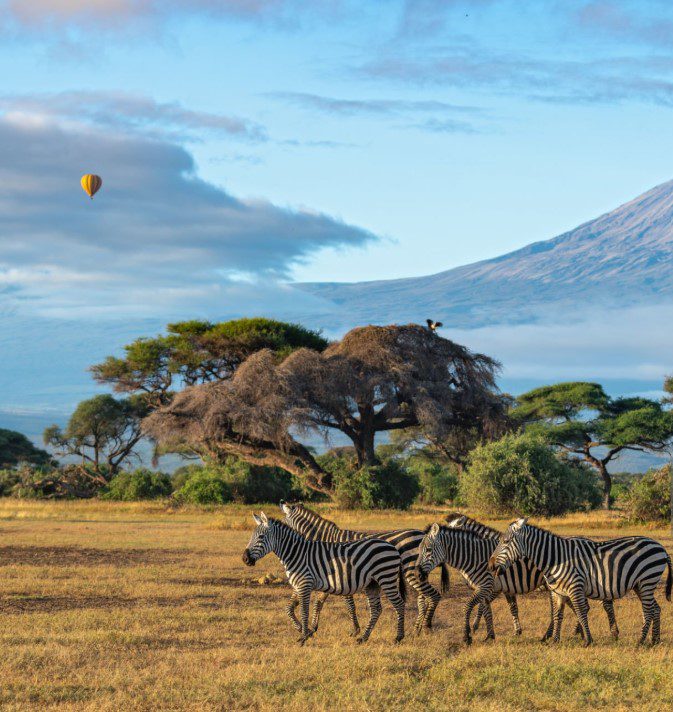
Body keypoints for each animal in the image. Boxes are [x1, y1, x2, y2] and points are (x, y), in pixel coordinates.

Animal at [242, 512, 406, 645]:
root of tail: (392, 546)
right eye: (251, 536)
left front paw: (303, 637)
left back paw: (398, 637)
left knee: (399, 604)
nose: (245, 559)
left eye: (261, 537)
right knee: (376, 609)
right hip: (372, 583)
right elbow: (289, 609)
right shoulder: (298, 585)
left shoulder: (305, 584)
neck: (296, 553)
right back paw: (363, 638)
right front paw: (304, 630)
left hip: (386, 578)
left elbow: (304, 611)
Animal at [280, 502, 448, 635]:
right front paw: (311, 627)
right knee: (423, 599)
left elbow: (349, 606)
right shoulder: (328, 579)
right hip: (418, 573)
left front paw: (355, 630)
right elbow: (315, 603)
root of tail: (422, 534)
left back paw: (423, 628)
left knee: (431, 596)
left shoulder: (342, 577)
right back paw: (416, 629)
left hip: (412, 572)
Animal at [489, 518, 673, 646]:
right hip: (640, 586)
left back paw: (641, 641)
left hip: (647, 580)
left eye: (505, 542)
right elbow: (558, 614)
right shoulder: (558, 592)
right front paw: (555, 640)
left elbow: (580, 611)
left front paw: (588, 640)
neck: (556, 558)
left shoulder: (575, 587)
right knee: (656, 608)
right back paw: (654, 640)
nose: (490, 565)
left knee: (648, 610)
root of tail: (661, 547)